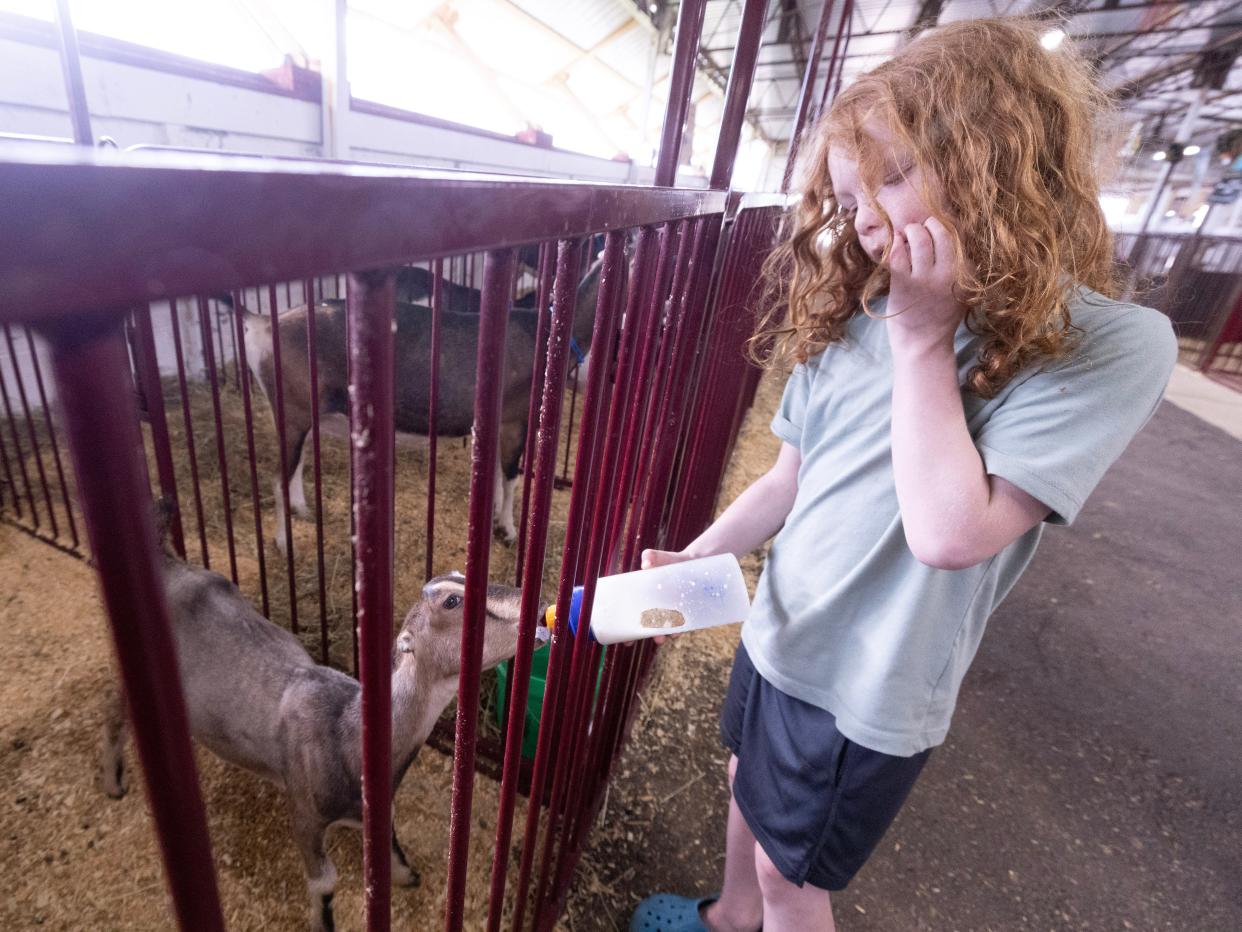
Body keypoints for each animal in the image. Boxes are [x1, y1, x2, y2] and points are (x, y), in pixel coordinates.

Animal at [104, 511, 551, 932]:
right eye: (452, 603)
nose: (538, 609)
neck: (345, 731)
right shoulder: (304, 812)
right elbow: (324, 880)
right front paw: (323, 921)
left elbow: (389, 842)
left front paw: (406, 876)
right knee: (116, 716)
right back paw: (113, 782)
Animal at [240, 257, 601, 554]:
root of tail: (262, 324)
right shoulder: (515, 419)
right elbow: (510, 475)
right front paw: (509, 530)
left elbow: (498, 472)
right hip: (293, 410)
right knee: (278, 479)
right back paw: (284, 544)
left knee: (297, 464)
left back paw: (302, 510)